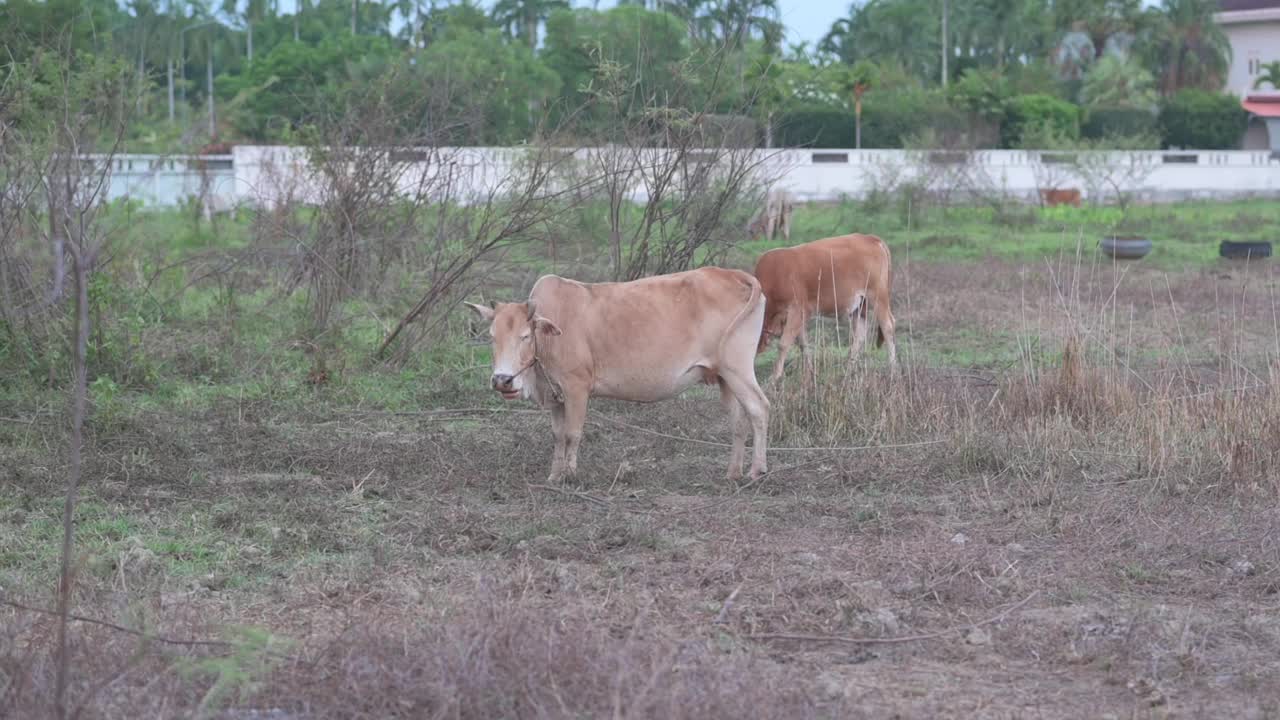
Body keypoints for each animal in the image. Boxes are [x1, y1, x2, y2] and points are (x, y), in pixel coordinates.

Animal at [468, 267, 768, 481]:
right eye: (492, 336)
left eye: (525, 336)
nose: (502, 380)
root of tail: (734, 274)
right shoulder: (555, 395)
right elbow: (557, 435)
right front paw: (554, 476)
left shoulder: (576, 387)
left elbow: (572, 433)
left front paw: (570, 475)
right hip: (724, 377)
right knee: (738, 421)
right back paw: (732, 473)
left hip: (737, 368)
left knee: (759, 408)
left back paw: (757, 470)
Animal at [752, 234, 896, 381]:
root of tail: (870, 238)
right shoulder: (797, 317)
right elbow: (803, 343)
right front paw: (810, 373)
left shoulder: (797, 310)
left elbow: (783, 344)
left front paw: (774, 377)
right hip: (860, 306)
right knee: (860, 335)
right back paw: (848, 372)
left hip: (878, 297)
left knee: (888, 327)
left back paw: (892, 370)